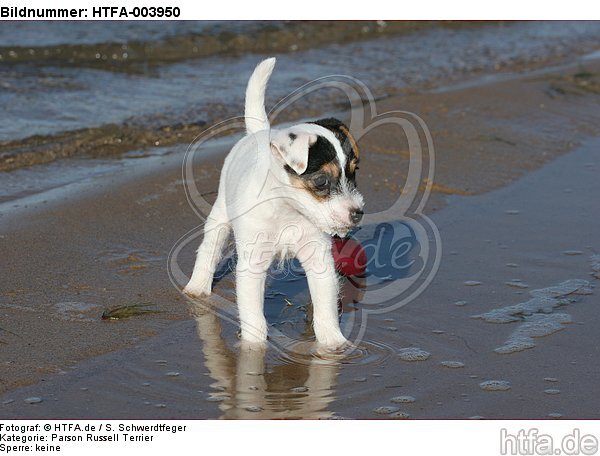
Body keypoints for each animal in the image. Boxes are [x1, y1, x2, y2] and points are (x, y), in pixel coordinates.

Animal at [183, 58, 364, 350]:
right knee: (210, 248)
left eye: (353, 172)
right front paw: (254, 347)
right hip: (220, 214)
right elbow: (253, 316)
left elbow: (325, 307)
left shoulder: (319, 259)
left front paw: (332, 343)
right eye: (322, 181)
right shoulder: (252, 265)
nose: (358, 213)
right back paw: (197, 286)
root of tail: (260, 132)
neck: (288, 210)